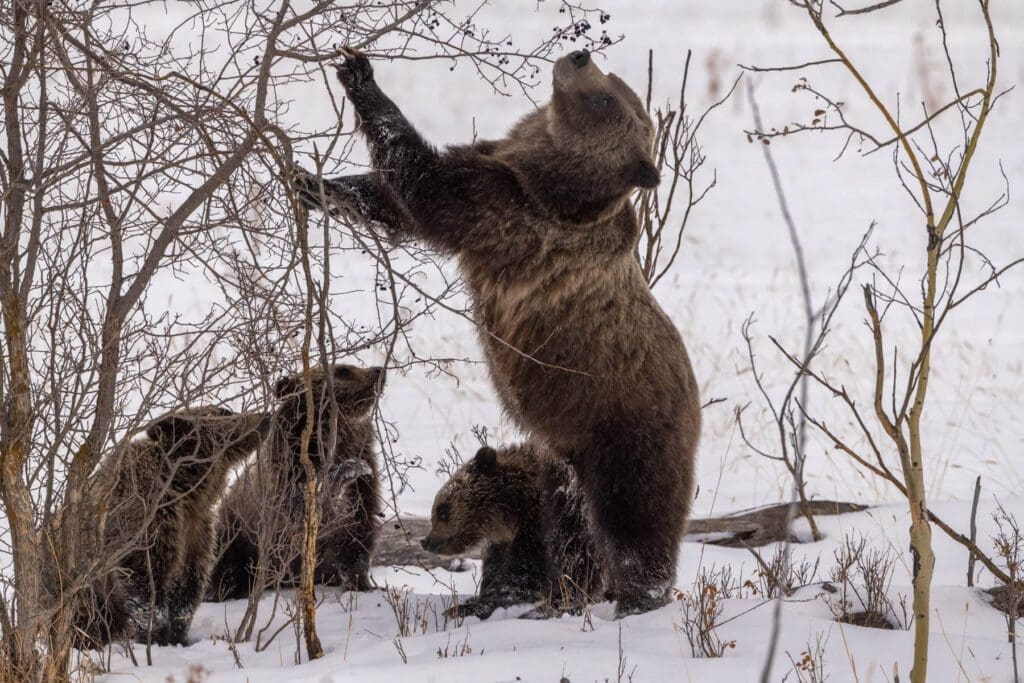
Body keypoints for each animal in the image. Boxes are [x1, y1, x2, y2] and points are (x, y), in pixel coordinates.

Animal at [70, 405, 270, 647]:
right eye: (225, 412)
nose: (266, 415)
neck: (186, 491)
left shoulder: (195, 531)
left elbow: (188, 588)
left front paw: (179, 636)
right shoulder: (145, 523)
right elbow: (143, 583)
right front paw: (155, 635)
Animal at [205, 366, 385, 602]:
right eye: (343, 370)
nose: (378, 370)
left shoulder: (364, 477)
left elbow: (357, 531)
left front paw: (362, 584)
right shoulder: (284, 472)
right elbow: (301, 506)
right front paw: (347, 471)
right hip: (238, 531)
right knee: (224, 563)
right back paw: (223, 590)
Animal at [421, 444, 602, 618]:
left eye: (442, 511)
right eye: (436, 511)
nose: (426, 541)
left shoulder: (539, 526)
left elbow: (522, 577)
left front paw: (470, 607)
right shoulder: (504, 541)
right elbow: (496, 569)